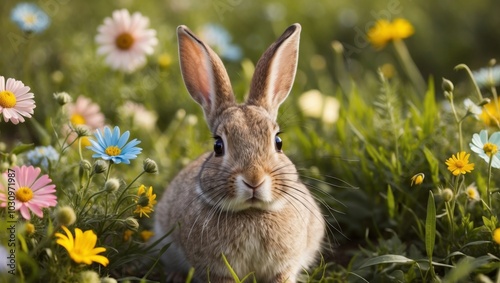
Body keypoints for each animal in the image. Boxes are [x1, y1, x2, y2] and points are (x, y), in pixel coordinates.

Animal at [154, 23, 326, 283]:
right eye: (218, 146)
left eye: (278, 142)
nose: (254, 179)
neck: (252, 212)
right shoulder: (216, 270)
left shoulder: (284, 267)